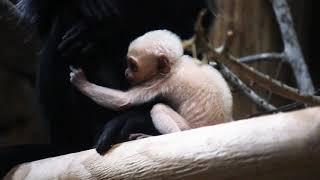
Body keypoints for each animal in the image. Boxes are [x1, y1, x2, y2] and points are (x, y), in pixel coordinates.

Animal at [70, 30, 232, 136]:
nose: (126, 73)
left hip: (189, 129)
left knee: (158, 109)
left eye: (133, 66)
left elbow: (123, 101)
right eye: (128, 65)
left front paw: (81, 83)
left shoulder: (159, 82)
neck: (175, 64)